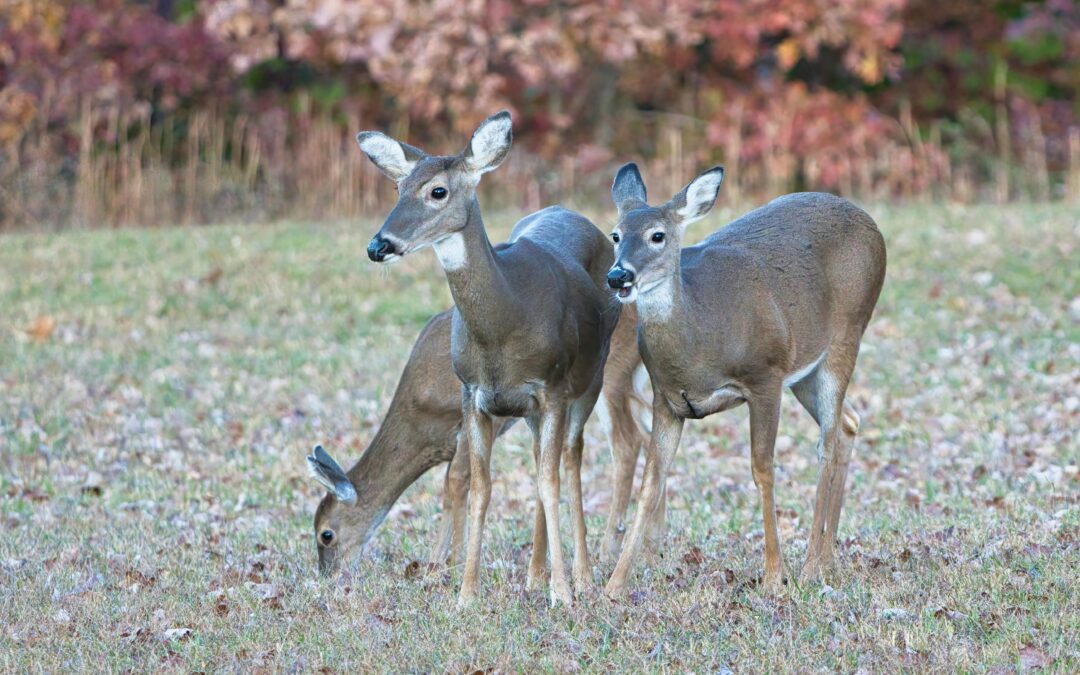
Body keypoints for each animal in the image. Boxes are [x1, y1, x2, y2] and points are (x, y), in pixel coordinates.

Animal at [306, 306, 652, 576]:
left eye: (326, 534)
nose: (329, 575)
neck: (422, 417)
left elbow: (457, 480)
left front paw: (449, 562)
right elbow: (449, 487)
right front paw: (438, 561)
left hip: (610, 375)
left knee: (628, 442)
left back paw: (609, 548)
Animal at [354, 110, 624, 607]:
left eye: (438, 191)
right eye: (398, 189)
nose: (378, 246)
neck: (504, 328)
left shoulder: (551, 388)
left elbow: (550, 482)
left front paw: (563, 592)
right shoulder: (473, 395)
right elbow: (480, 489)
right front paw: (466, 592)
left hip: (590, 377)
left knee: (570, 460)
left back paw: (582, 575)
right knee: (542, 459)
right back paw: (534, 574)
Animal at [602, 163, 886, 597]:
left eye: (657, 235)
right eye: (615, 235)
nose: (619, 276)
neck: (699, 339)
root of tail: (870, 222)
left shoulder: (765, 376)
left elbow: (762, 469)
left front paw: (773, 576)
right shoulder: (666, 399)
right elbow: (652, 480)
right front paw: (614, 585)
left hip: (847, 332)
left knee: (828, 441)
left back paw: (810, 567)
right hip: (806, 367)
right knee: (848, 423)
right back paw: (828, 560)